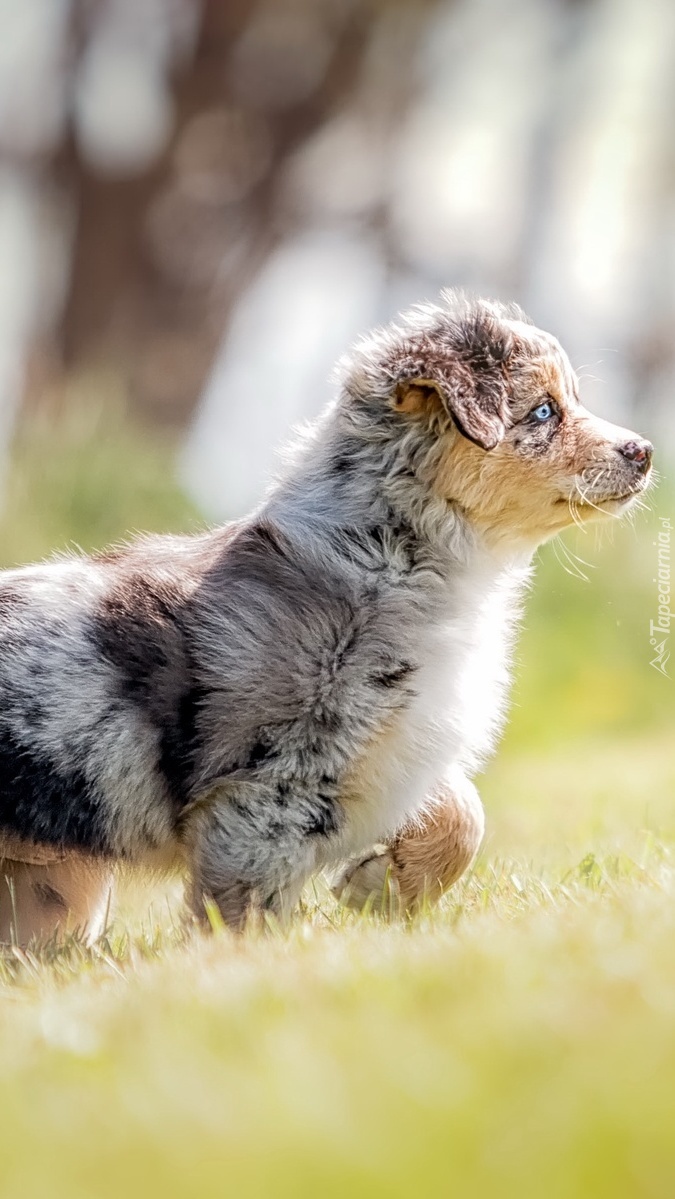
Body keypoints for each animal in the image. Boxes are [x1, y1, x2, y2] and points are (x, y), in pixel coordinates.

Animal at [0, 287, 657, 935]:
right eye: (544, 412)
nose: (645, 451)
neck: (390, 555)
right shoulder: (276, 785)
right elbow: (248, 910)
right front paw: (246, 960)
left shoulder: (398, 753)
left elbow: (464, 811)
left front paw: (381, 887)